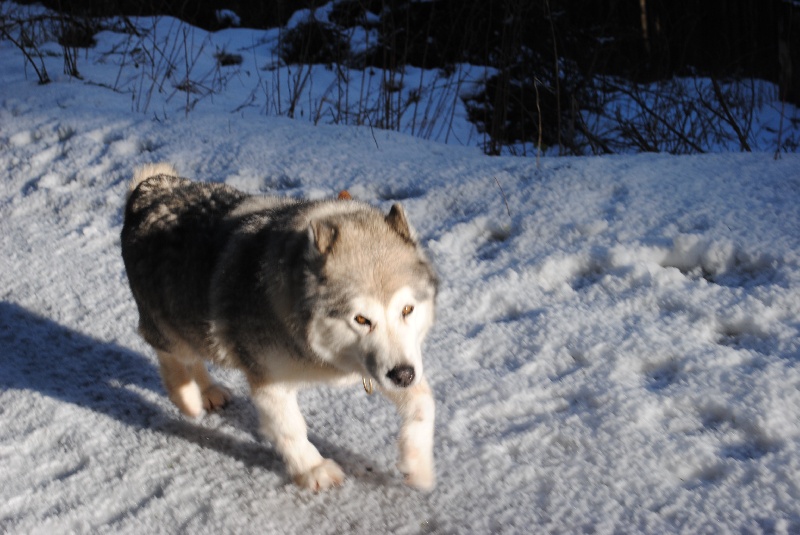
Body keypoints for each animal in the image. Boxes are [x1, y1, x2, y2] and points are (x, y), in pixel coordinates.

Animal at [120, 162, 438, 490]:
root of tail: (151, 189)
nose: (402, 375)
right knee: (168, 354)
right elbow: (290, 428)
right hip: (171, 327)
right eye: (361, 319)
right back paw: (188, 399)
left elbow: (424, 403)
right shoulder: (269, 381)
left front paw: (418, 466)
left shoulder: (384, 365)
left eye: (407, 309)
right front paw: (312, 469)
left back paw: (208, 391)